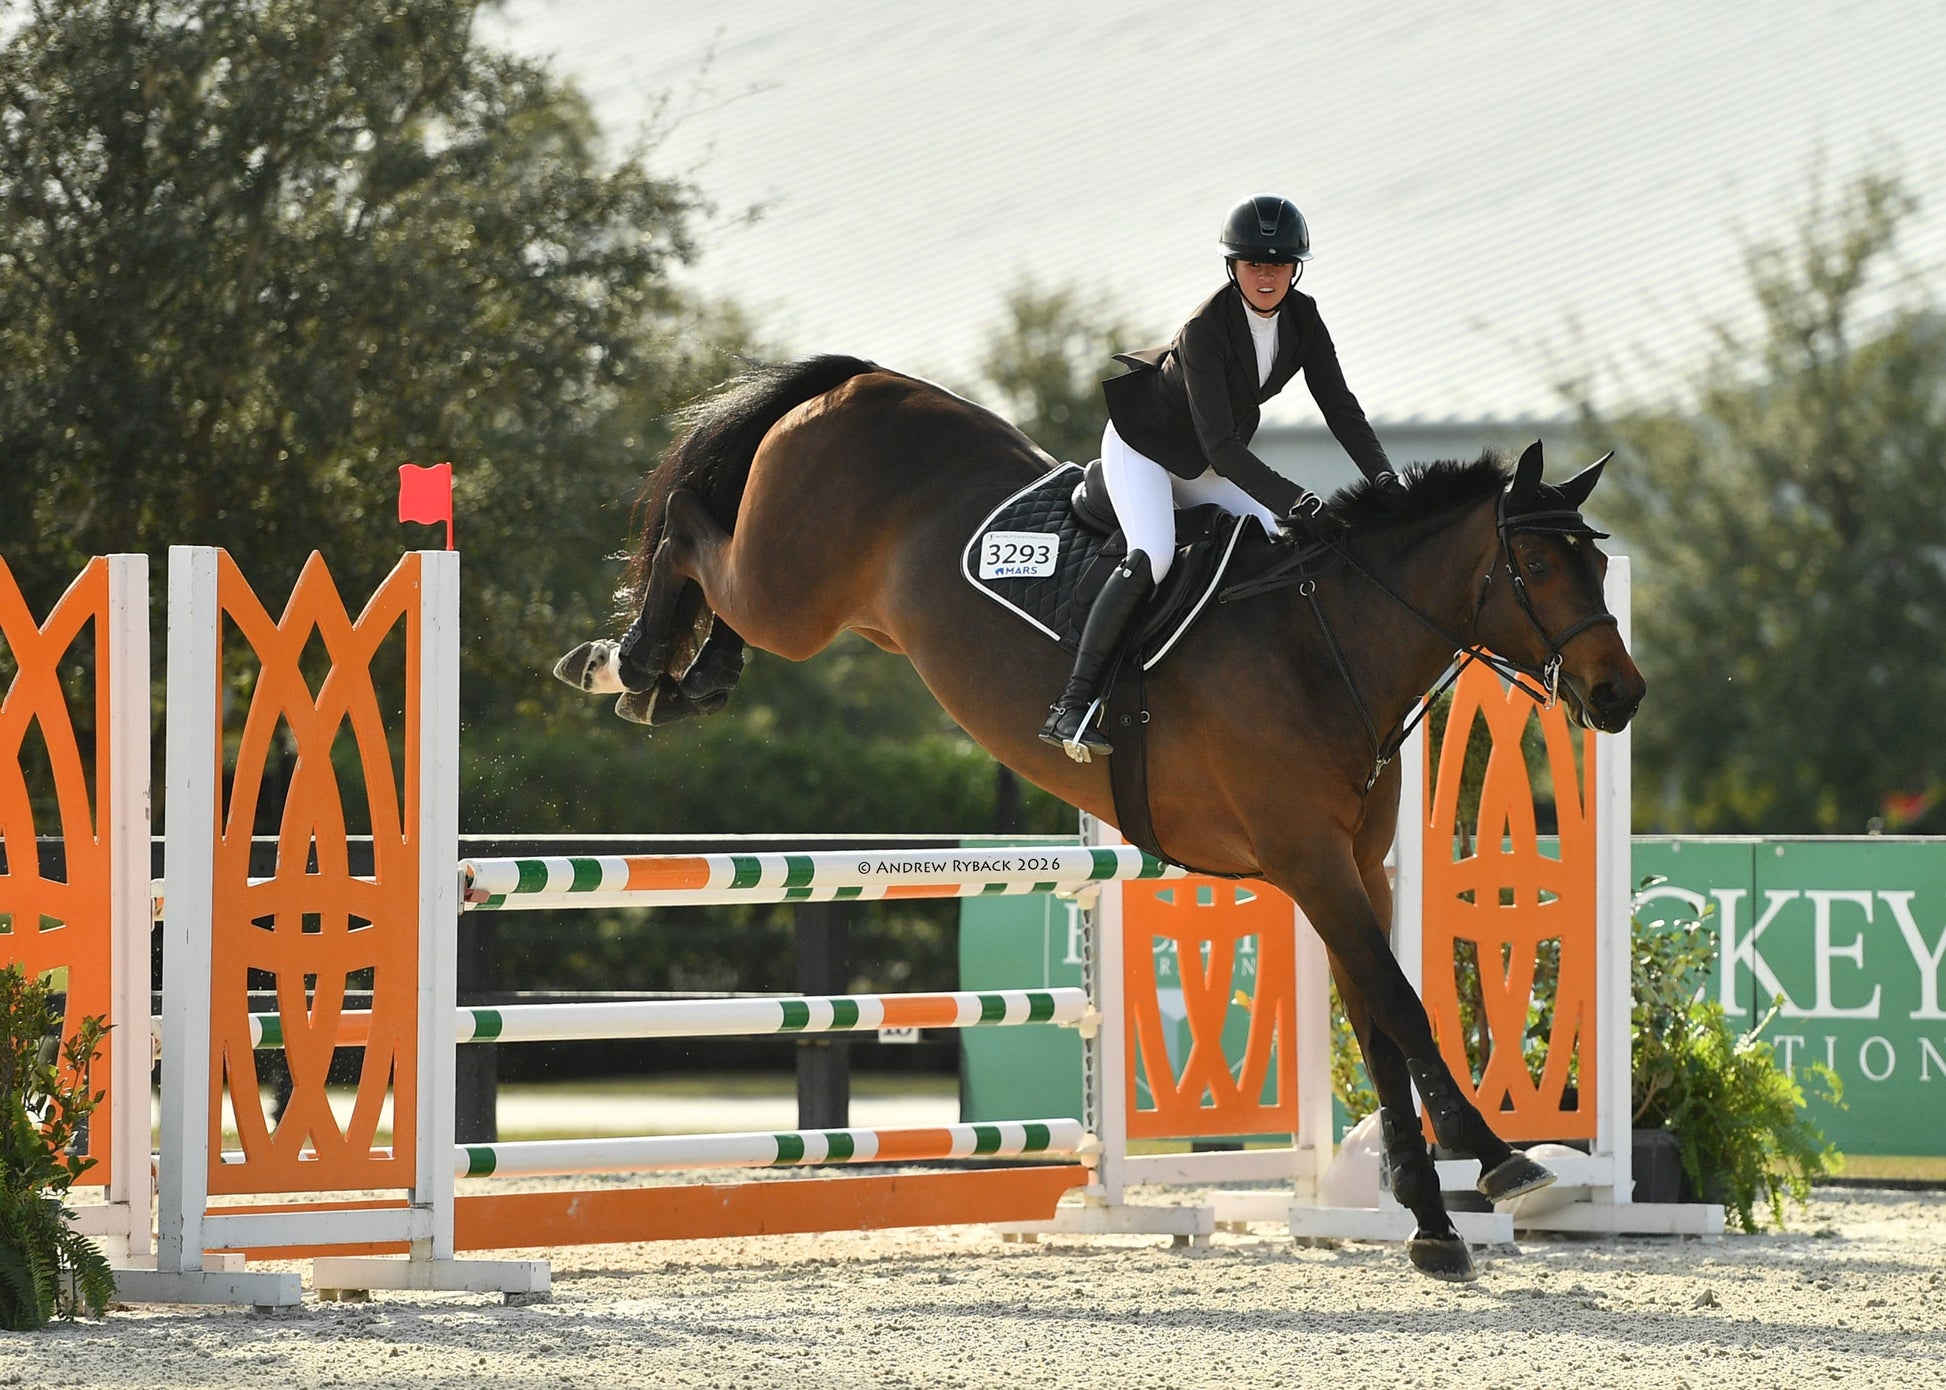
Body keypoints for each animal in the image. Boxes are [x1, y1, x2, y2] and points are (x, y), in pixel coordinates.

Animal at [554, 355, 1645, 1282]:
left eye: (1596, 567)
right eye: (1538, 569)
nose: (1619, 694)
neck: (1325, 640)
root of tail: (862, 381)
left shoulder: (1356, 871)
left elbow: (1380, 1023)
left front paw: (1431, 1223)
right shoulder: (1309, 862)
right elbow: (1405, 1007)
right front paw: (1495, 1156)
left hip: (813, 601)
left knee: (715, 574)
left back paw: (679, 679)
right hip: (793, 591)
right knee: (692, 523)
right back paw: (624, 660)